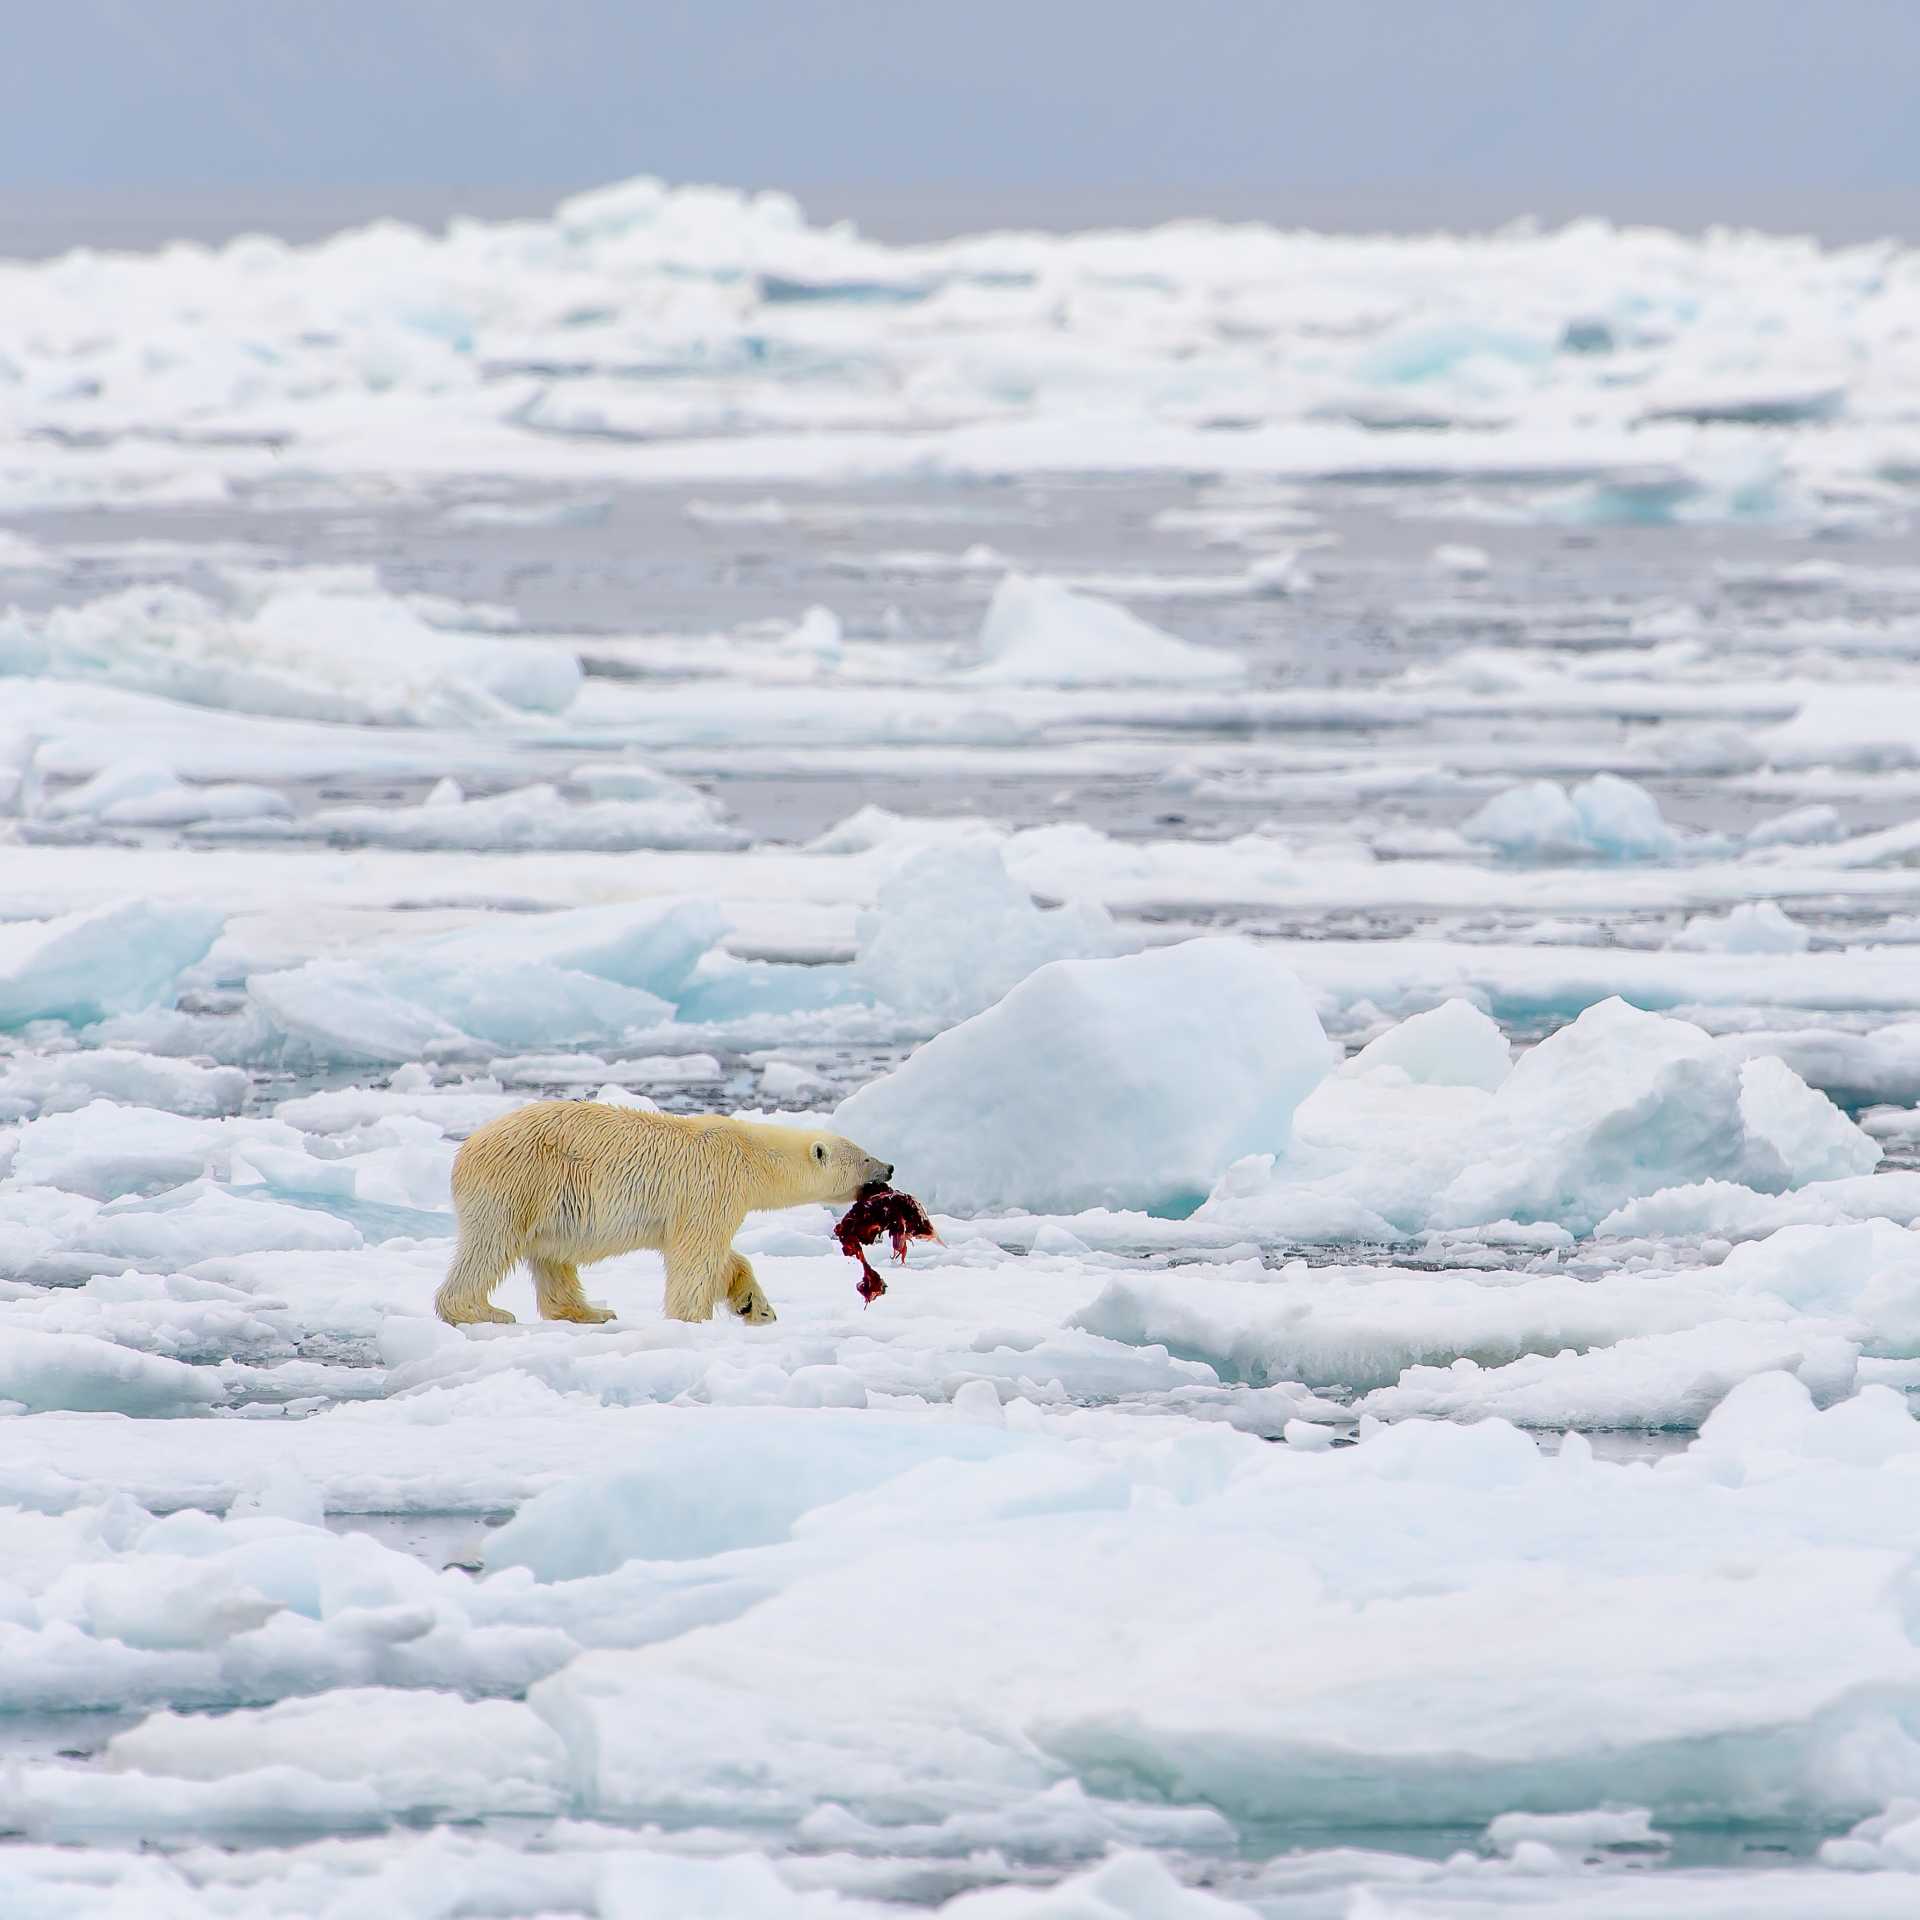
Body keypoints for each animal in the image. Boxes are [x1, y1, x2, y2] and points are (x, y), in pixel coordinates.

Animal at [433, 1101, 892, 1328]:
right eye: (865, 1156)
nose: (888, 1168)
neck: (750, 1152)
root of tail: (464, 1151)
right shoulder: (712, 1185)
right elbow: (697, 1256)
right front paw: (693, 1319)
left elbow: (722, 1258)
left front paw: (755, 1307)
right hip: (520, 1182)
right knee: (492, 1244)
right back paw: (484, 1312)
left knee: (552, 1258)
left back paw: (592, 1312)